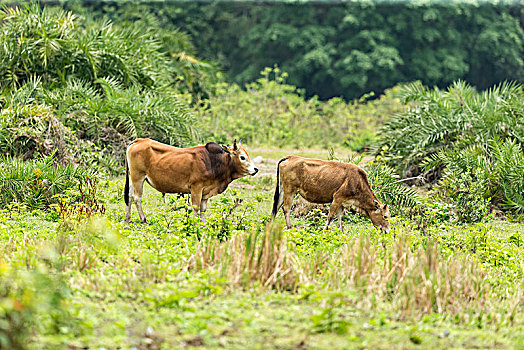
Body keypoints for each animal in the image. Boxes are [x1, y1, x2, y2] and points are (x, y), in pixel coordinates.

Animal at [125, 138, 260, 223]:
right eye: (242, 157)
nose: (255, 169)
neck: (214, 162)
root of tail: (137, 141)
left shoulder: (206, 192)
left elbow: (203, 209)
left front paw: (202, 224)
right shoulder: (196, 187)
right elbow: (195, 207)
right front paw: (194, 224)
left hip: (134, 179)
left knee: (129, 196)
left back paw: (128, 219)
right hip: (138, 177)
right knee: (137, 198)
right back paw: (144, 220)